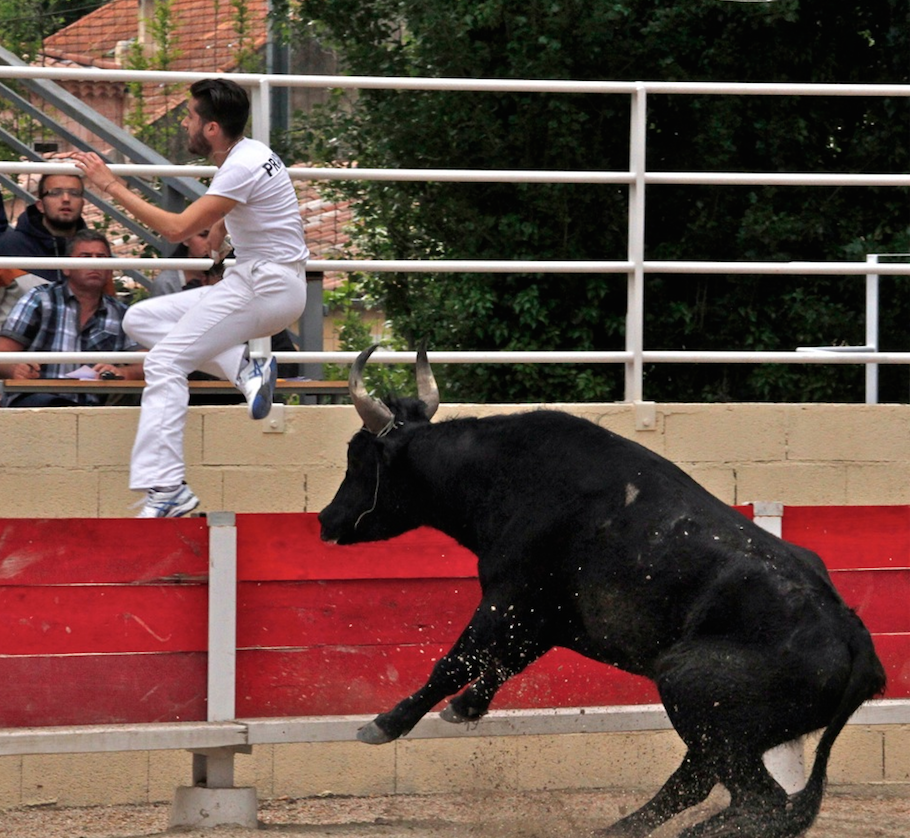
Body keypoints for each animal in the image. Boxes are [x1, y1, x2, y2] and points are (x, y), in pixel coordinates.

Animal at [318, 344, 884, 836]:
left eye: (357, 458)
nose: (325, 520)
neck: (507, 474)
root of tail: (855, 640)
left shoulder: (509, 598)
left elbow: (455, 661)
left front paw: (383, 724)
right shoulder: (541, 620)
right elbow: (498, 663)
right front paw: (466, 709)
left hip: (693, 696)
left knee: (757, 800)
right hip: (724, 730)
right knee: (698, 784)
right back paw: (620, 830)